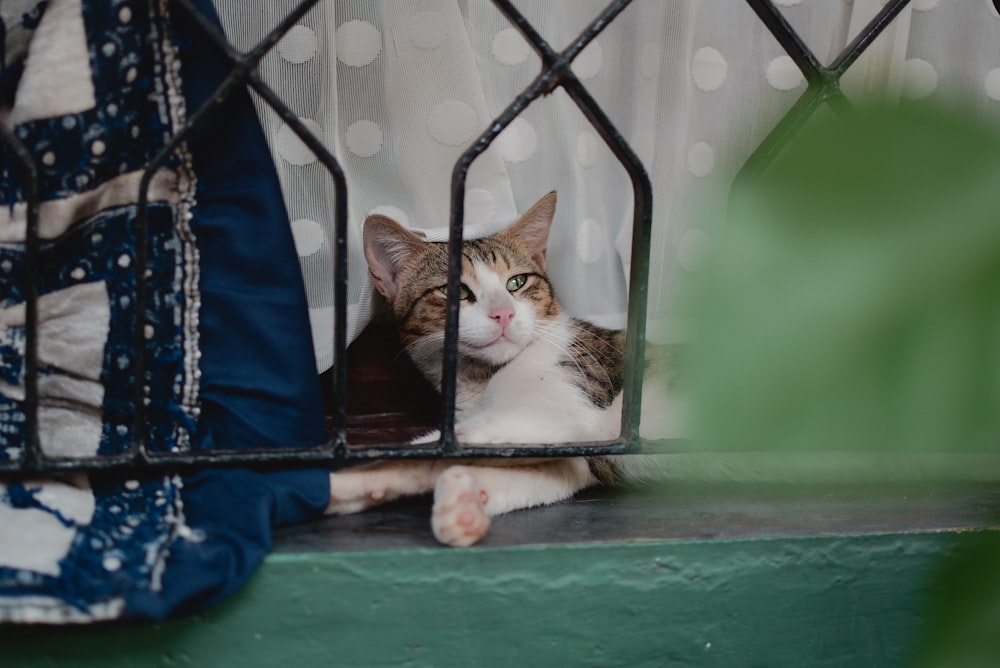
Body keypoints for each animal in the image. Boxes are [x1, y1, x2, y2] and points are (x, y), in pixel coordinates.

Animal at [324, 190, 676, 544]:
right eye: (455, 291)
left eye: (516, 282)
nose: (503, 313)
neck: (479, 382)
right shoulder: (573, 459)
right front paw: (461, 501)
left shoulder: (566, 418)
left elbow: (430, 446)